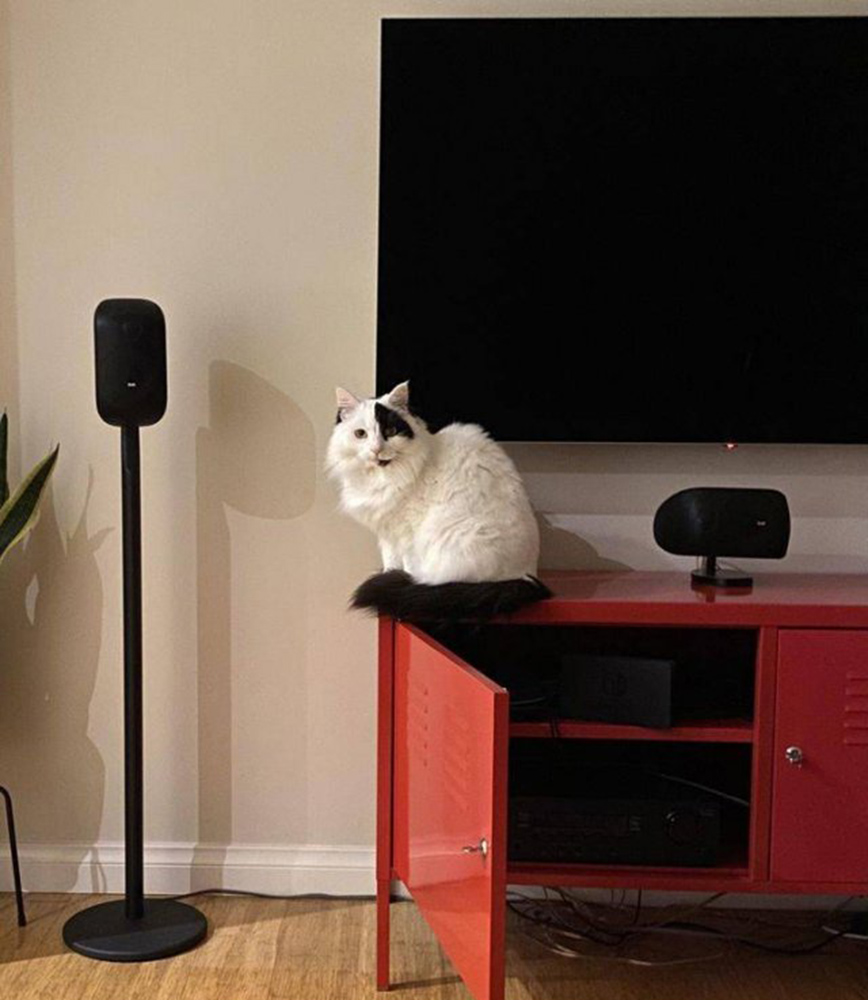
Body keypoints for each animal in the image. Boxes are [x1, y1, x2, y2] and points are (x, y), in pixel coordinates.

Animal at [325, 380, 551, 620]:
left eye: (390, 431)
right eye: (361, 434)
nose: (376, 449)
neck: (382, 478)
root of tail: (528, 578)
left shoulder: (407, 532)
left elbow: (408, 564)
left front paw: (402, 580)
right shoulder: (388, 533)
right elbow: (390, 561)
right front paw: (390, 573)